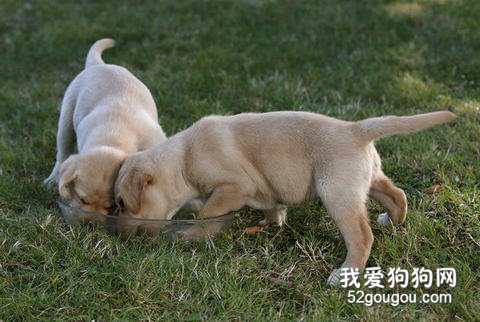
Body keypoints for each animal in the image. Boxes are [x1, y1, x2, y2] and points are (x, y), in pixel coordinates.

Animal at [45, 39, 167, 218]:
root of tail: (98, 65)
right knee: (62, 153)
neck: (112, 137)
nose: (91, 222)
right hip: (66, 119)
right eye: (82, 199)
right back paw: (53, 179)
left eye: (112, 205)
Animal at [114, 110, 456, 284]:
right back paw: (392, 221)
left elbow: (209, 212)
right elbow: (271, 205)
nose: (118, 234)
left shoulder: (232, 186)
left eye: (121, 203)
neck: (183, 158)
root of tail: (356, 129)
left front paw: (190, 235)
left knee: (362, 236)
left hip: (337, 194)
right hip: (367, 180)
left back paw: (344, 275)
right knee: (397, 195)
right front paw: (272, 222)